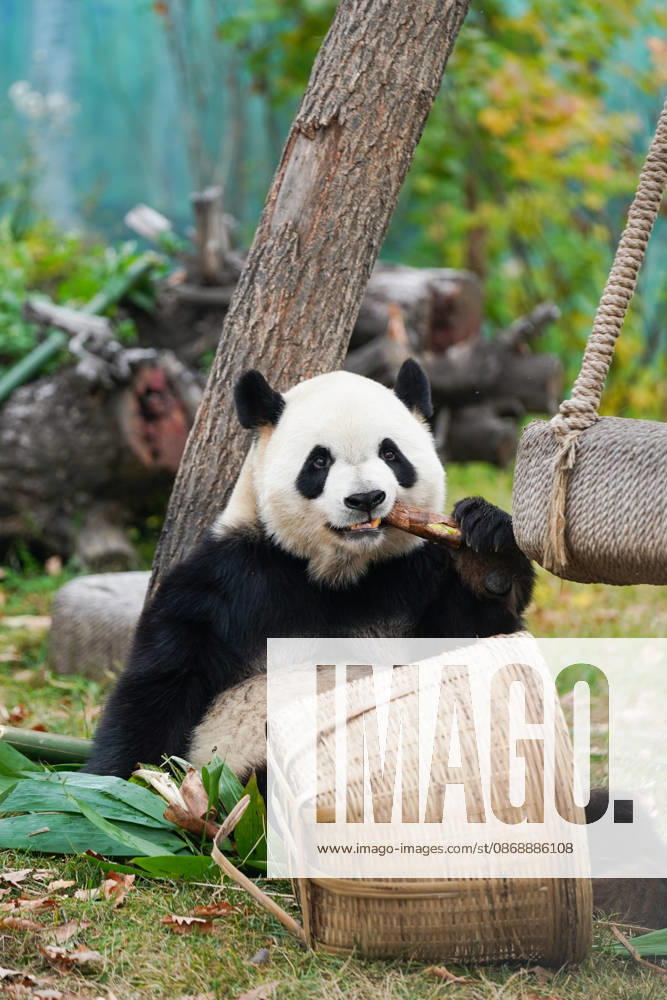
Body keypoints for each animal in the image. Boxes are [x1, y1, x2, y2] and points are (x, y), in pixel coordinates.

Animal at [85, 360, 535, 780]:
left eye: (391, 454)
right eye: (319, 461)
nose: (365, 498)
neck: (340, 570)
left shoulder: (412, 571)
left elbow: (471, 634)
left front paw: (487, 554)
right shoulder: (233, 581)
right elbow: (161, 684)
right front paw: (121, 784)